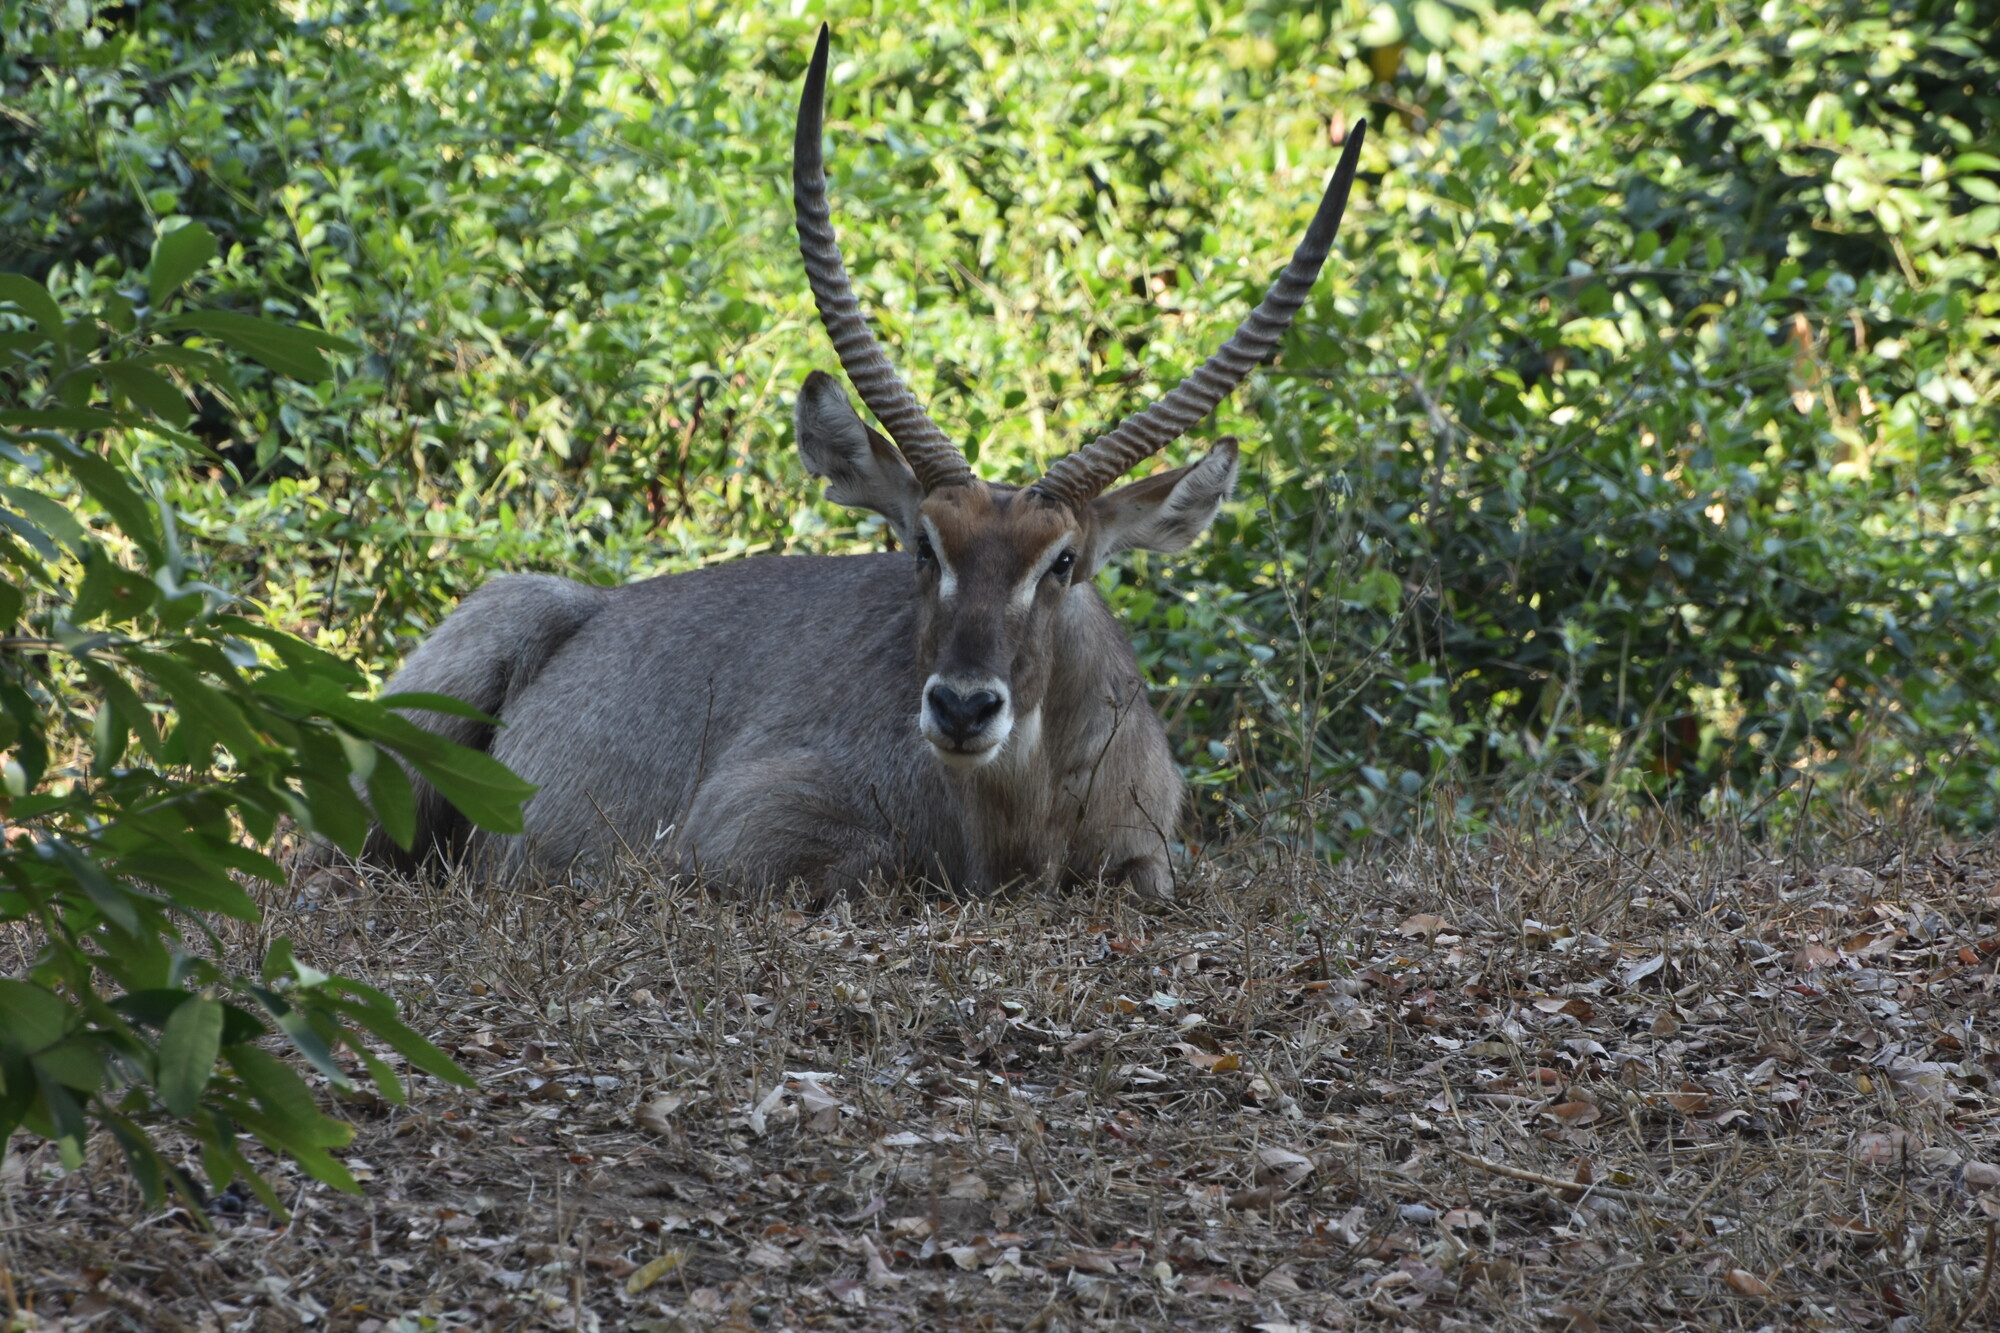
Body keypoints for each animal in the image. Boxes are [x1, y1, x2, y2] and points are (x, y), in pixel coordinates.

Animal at [362, 26, 1365, 900]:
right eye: (924, 544)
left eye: (1064, 562)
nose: (961, 708)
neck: (1018, 814)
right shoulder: (737, 826)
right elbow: (884, 864)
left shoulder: (1150, 853)